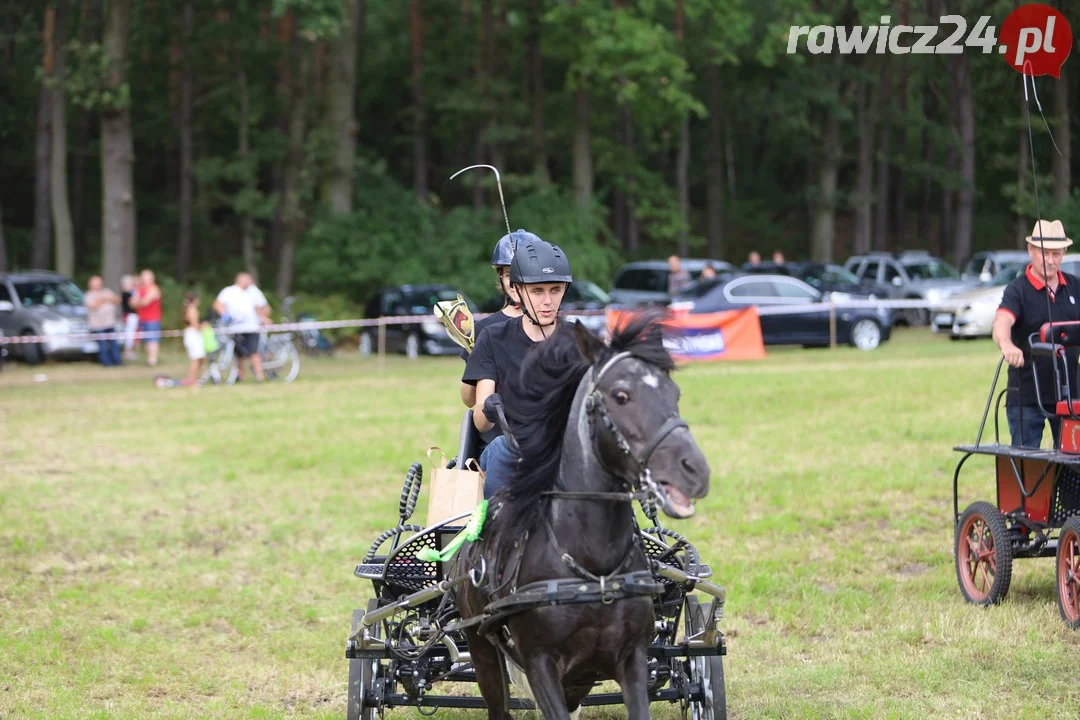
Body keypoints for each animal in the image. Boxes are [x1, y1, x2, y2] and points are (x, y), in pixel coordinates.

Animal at [453, 310, 712, 720]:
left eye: (674, 393)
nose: (695, 471)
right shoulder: (540, 665)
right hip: (482, 651)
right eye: (621, 395)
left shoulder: (631, 658)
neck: (593, 567)